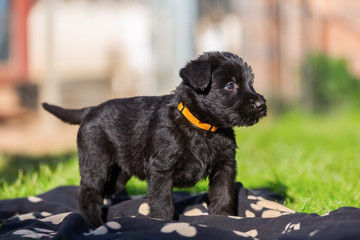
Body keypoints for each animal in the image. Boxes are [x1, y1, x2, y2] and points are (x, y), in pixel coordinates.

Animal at [43, 51, 268, 227]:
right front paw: (163, 224)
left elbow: (223, 195)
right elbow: (162, 203)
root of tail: (89, 110)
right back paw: (96, 224)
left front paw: (223, 219)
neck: (202, 127)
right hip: (97, 164)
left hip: (118, 174)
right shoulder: (162, 170)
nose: (261, 104)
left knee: (103, 194)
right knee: (86, 194)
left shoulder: (225, 166)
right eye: (230, 85)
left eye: (251, 84)